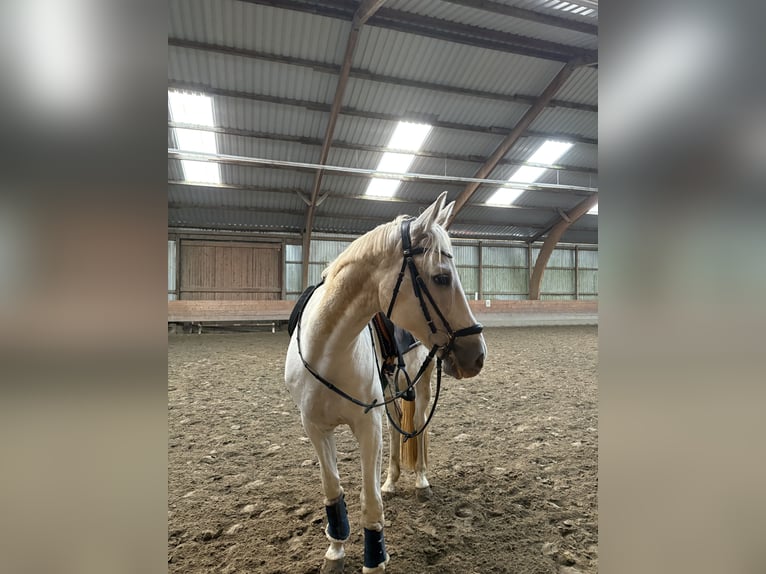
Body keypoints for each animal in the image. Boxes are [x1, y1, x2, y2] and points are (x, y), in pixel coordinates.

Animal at [284, 192, 486, 573]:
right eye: (441, 277)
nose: (477, 355)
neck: (328, 351)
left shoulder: (368, 426)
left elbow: (370, 502)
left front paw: (374, 561)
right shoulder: (315, 427)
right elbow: (332, 489)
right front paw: (335, 551)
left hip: (420, 385)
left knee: (418, 425)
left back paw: (420, 480)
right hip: (394, 389)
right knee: (397, 431)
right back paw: (392, 480)